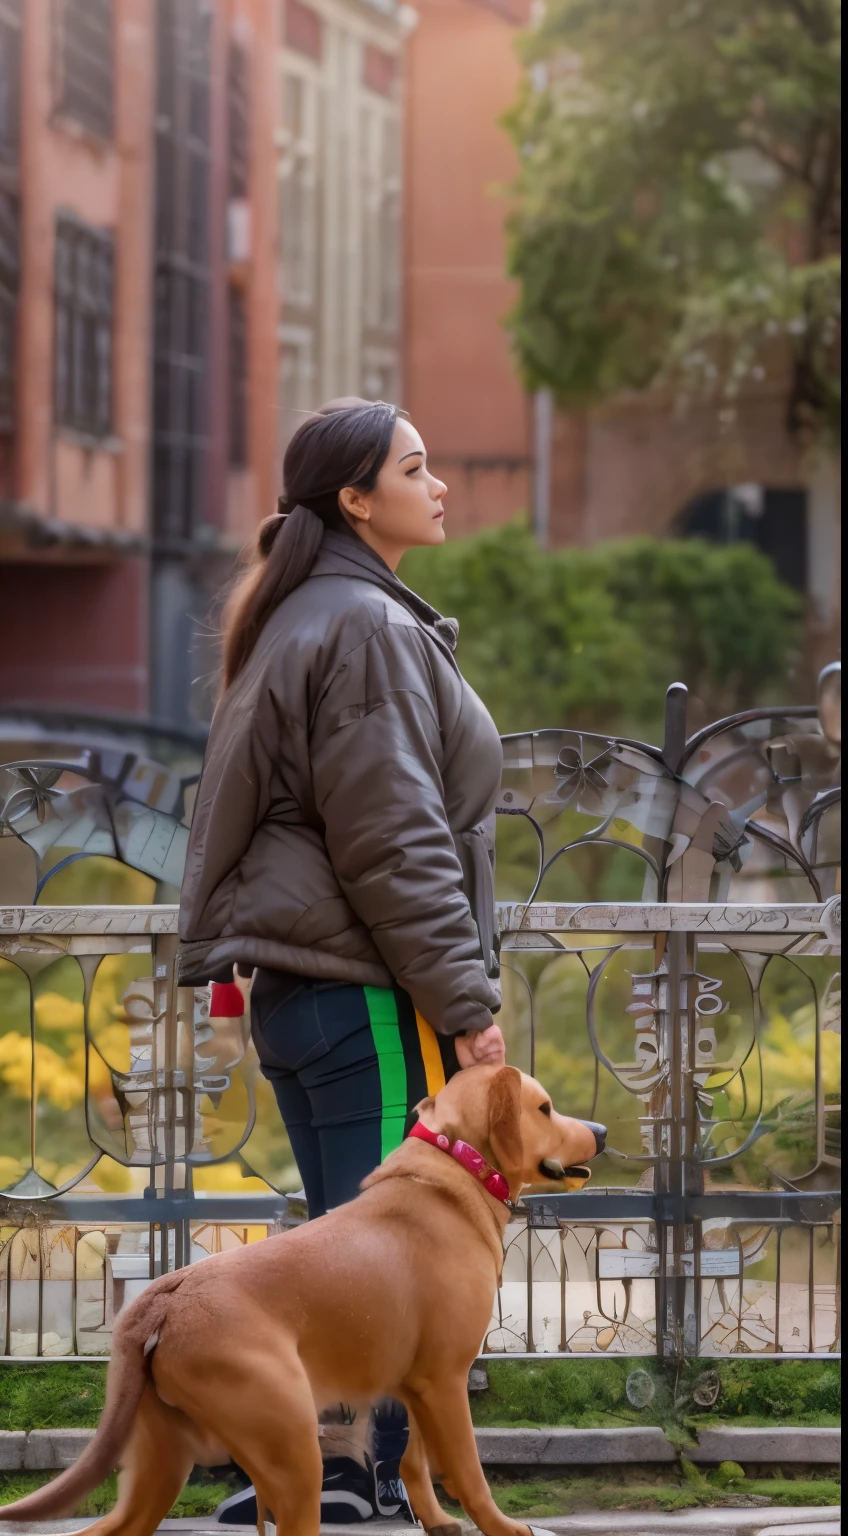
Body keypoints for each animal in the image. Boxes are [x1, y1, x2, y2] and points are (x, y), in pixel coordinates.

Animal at [3, 1069, 605, 1536]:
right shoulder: (445, 1381)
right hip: (292, 1458)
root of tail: (166, 1295)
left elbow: (415, 1459)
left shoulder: (419, 1385)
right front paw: (502, 1526)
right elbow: (469, 1473)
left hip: (162, 1469)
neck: (453, 1169)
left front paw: (434, 1519)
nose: (599, 1131)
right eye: (544, 1107)